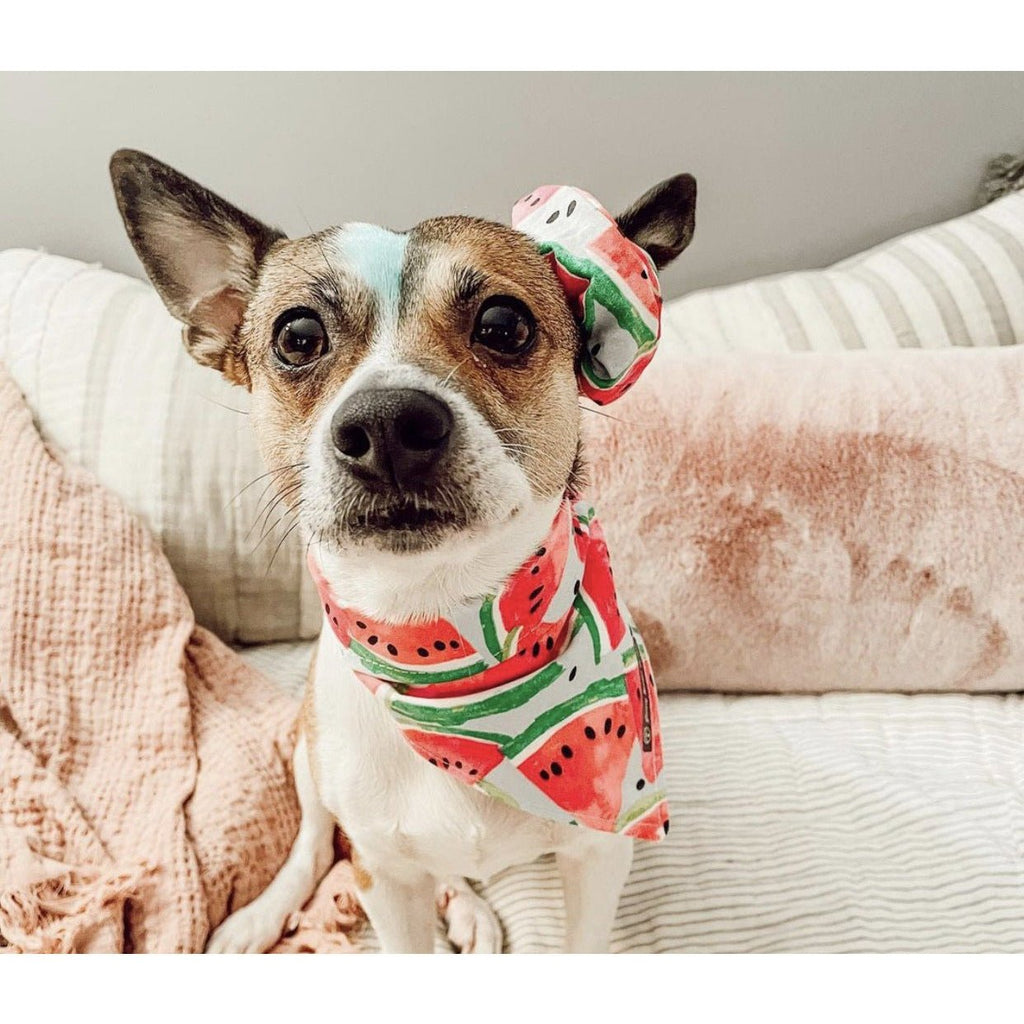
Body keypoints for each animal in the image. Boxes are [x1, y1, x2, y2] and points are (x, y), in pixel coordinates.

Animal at [112, 151, 700, 950]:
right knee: (313, 840)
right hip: (308, 755)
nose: (388, 422)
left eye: (504, 325)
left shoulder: (598, 856)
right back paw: (262, 916)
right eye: (298, 337)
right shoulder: (383, 878)